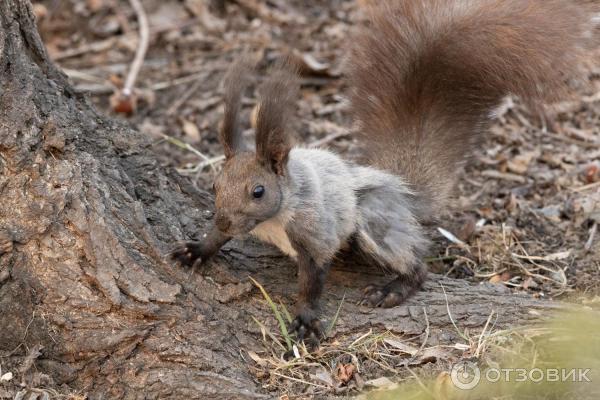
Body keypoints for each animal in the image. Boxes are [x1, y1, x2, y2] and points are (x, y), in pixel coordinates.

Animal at [171, 0, 588, 344]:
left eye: (258, 191)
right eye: (215, 185)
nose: (224, 220)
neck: (276, 214)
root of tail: (404, 190)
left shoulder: (315, 230)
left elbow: (312, 280)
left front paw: (306, 319)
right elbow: (217, 240)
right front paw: (198, 248)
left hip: (374, 219)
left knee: (417, 265)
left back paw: (393, 288)